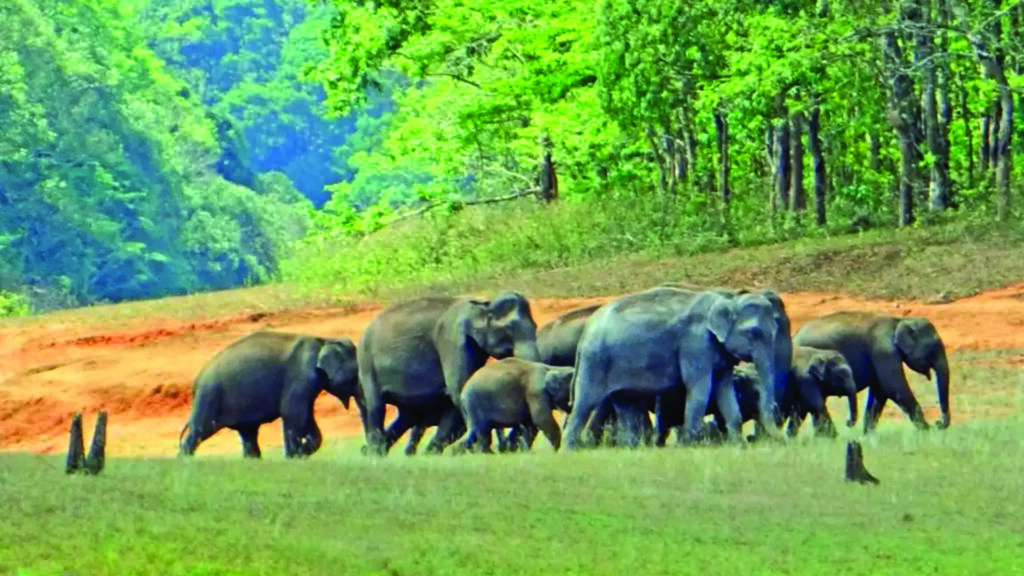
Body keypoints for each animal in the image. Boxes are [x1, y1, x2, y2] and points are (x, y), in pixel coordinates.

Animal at [179, 327, 360, 457]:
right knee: (199, 430)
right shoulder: (299, 377)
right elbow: (293, 414)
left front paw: (301, 452)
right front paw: (293, 456)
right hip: (210, 396)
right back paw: (184, 460)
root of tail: (196, 382)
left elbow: (306, 416)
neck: (324, 340)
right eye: (355, 375)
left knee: (248, 434)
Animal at [360, 291, 544, 453]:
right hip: (367, 365)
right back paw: (374, 452)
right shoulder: (452, 339)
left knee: (408, 416)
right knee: (376, 406)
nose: (510, 447)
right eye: (509, 329)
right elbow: (460, 388)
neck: (482, 304)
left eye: (535, 326)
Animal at [561, 286, 790, 448]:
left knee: (625, 404)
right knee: (584, 403)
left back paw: (630, 448)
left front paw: (738, 446)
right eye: (754, 333)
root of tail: (585, 332)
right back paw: (571, 449)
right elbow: (700, 389)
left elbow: (724, 390)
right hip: (596, 361)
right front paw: (691, 445)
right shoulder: (695, 344)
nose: (783, 442)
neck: (727, 298)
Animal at [790, 309, 950, 430]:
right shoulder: (883, 351)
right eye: (934, 347)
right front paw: (927, 431)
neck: (899, 321)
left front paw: (867, 436)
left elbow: (880, 392)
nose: (938, 423)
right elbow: (893, 387)